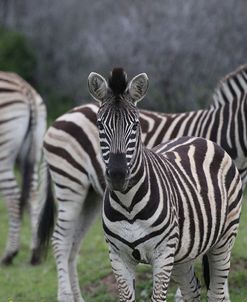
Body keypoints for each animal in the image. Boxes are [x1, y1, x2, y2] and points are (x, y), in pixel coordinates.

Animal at [37, 62, 247, 300]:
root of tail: (63, 117)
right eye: (99, 125)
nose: (118, 175)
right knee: (61, 240)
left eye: (136, 125)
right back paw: (66, 295)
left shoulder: (178, 244)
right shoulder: (120, 256)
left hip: (90, 196)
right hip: (70, 184)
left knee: (73, 243)